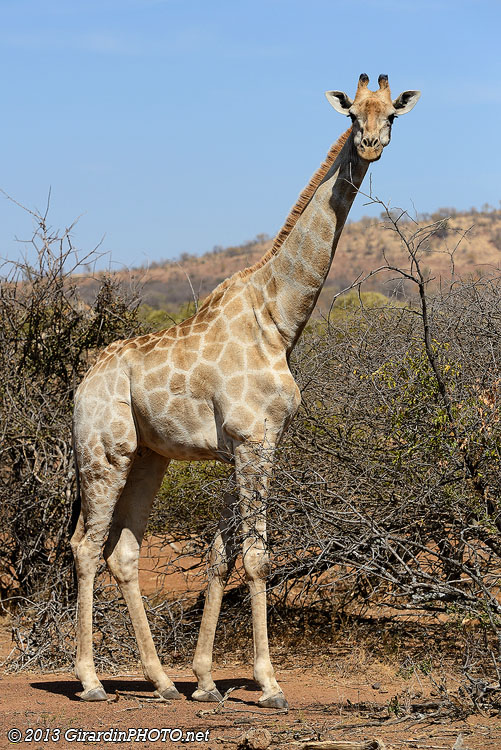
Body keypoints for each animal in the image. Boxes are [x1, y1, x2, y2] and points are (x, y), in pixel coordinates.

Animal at [71, 74, 420, 707]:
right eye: (352, 113)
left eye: (392, 116)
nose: (371, 144)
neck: (277, 318)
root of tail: (83, 382)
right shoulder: (254, 440)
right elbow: (256, 557)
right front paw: (268, 682)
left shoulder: (249, 444)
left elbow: (220, 554)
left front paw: (206, 681)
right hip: (103, 452)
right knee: (86, 546)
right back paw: (89, 681)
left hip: (148, 458)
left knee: (124, 551)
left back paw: (161, 681)